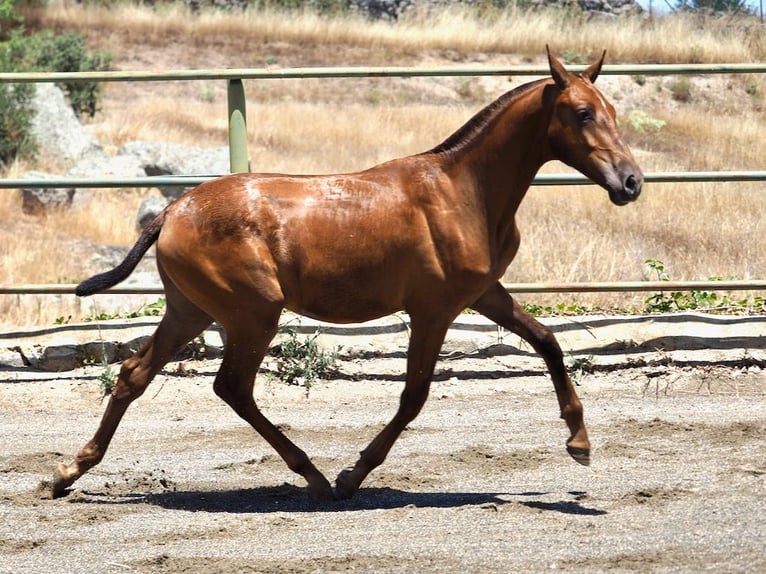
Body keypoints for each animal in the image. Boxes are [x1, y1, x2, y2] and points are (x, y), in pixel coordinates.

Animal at [51, 49, 644, 504]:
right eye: (582, 113)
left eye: (611, 111)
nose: (631, 182)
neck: (462, 192)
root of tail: (171, 211)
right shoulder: (433, 310)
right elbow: (414, 396)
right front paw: (352, 475)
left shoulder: (483, 294)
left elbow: (547, 342)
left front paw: (580, 443)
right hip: (252, 313)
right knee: (232, 387)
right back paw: (315, 477)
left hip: (191, 310)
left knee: (135, 375)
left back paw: (66, 473)